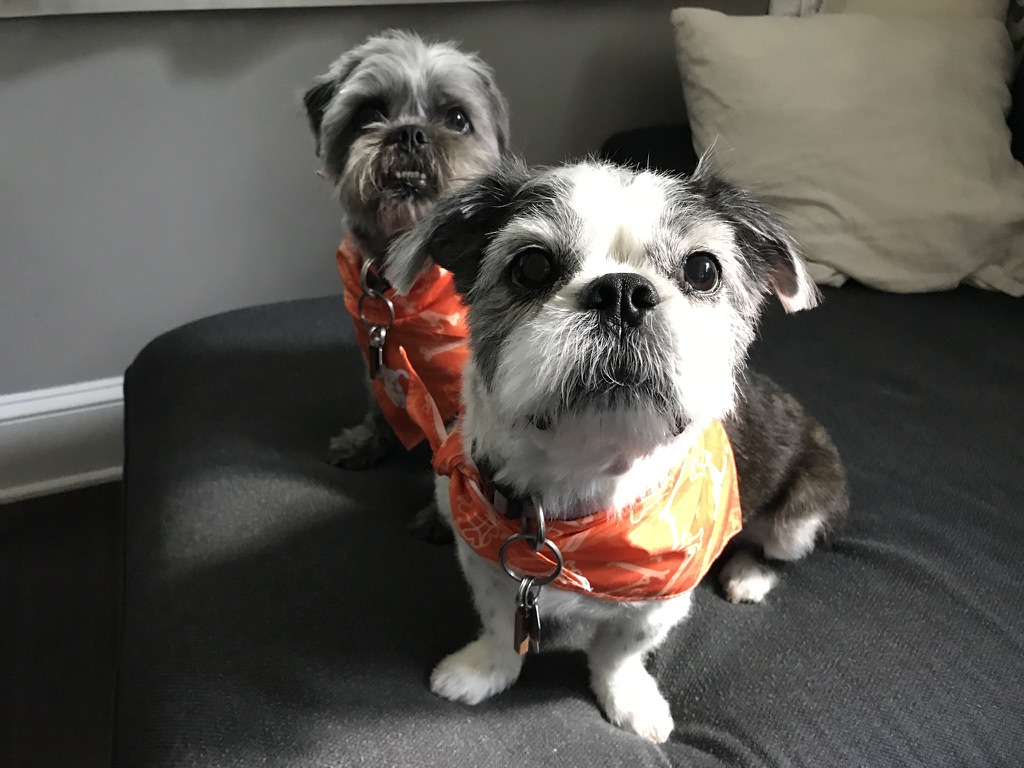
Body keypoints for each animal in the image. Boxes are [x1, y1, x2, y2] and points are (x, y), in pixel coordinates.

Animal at [303, 30, 512, 473]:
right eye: (367, 112)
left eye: (457, 119)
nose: (410, 133)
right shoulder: (376, 350)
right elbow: (380, 400)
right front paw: (367, 440)